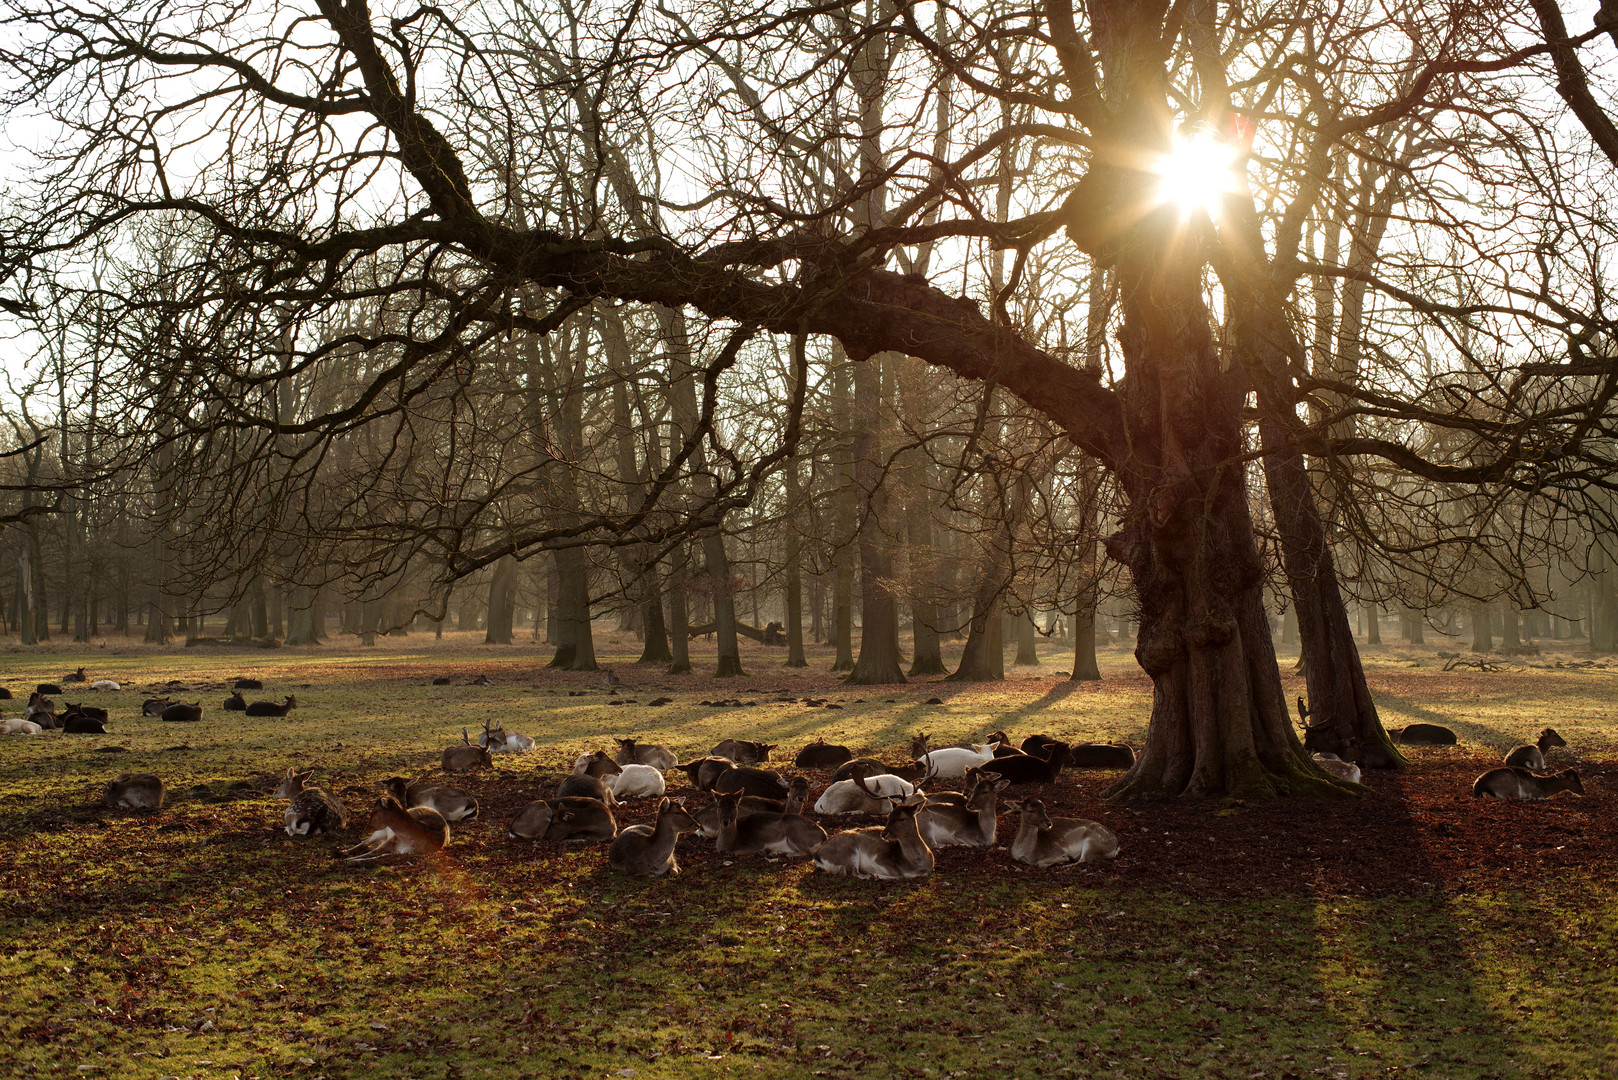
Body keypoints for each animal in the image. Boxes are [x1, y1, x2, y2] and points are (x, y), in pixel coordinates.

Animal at [809, 793, 938, 880]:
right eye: (889, 816)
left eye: (902, 818)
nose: (884, 833)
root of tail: (817, 857)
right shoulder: (880, 860)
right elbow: (900, 875)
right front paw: (876, 874)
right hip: (848, 853)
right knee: (855, 873)